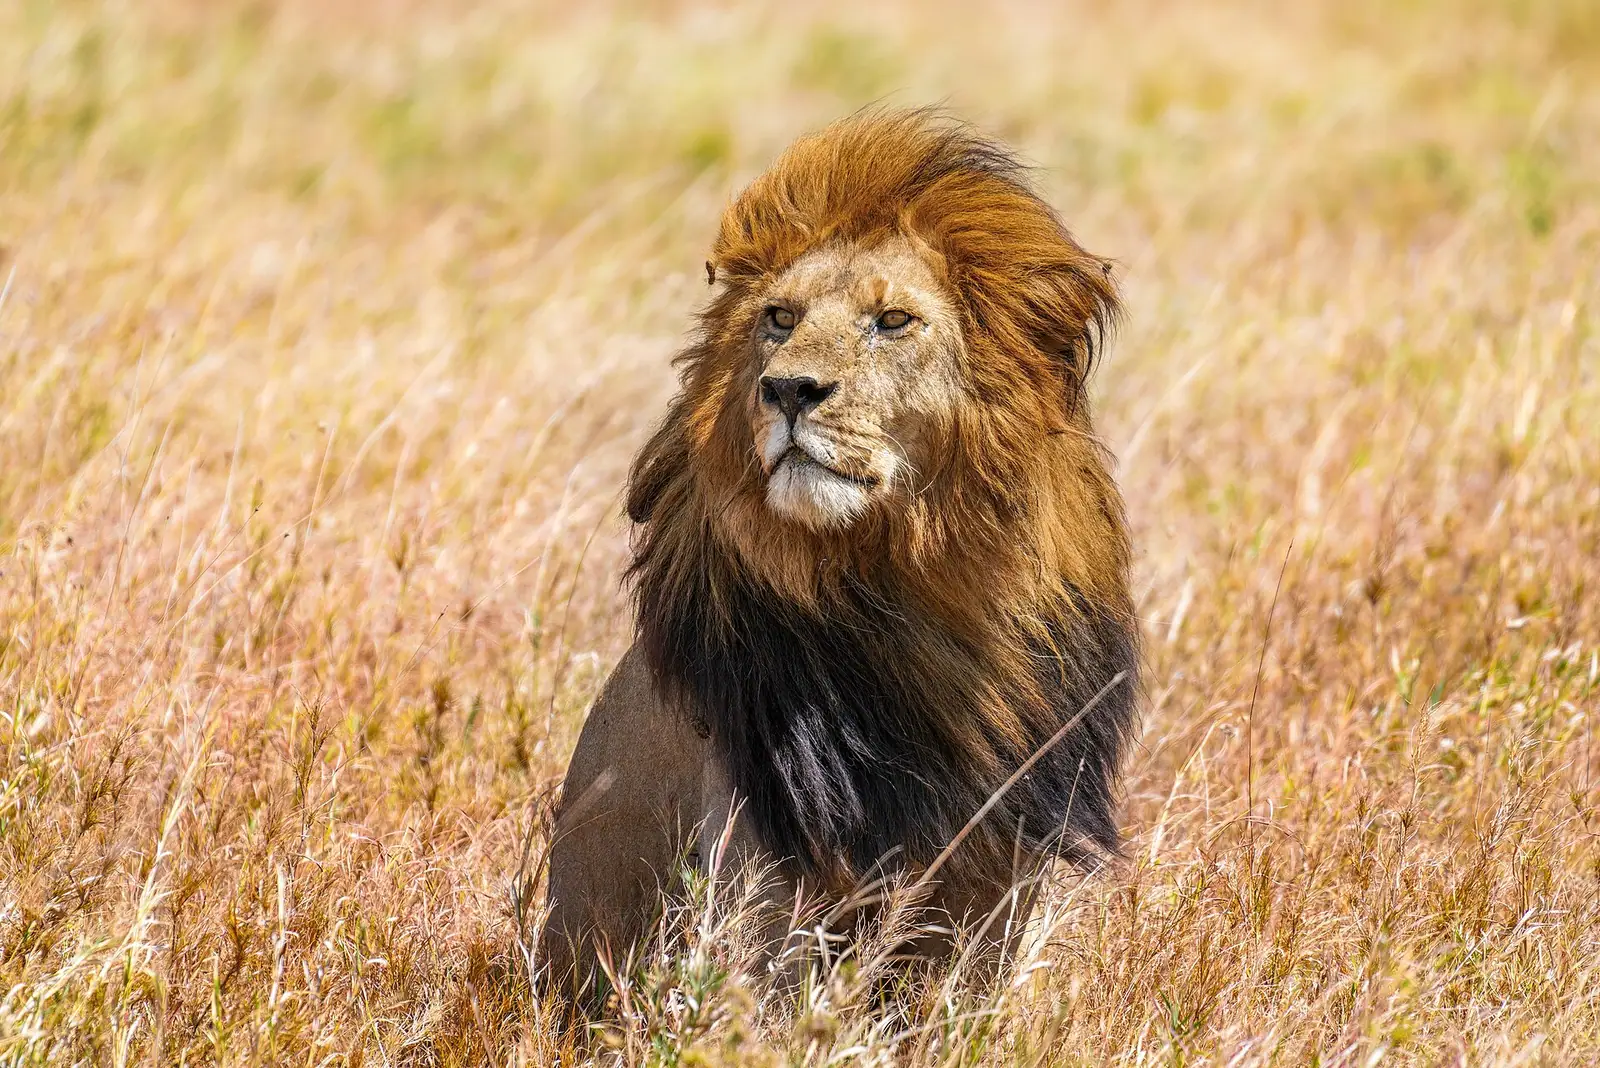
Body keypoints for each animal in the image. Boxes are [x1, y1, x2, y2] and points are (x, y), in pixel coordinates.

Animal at [540, 108, 1140, 1002]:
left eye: (891, 322)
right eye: (779, 319)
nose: (788, 390)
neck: (908, 583)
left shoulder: (999, 867)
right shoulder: (764, 858)